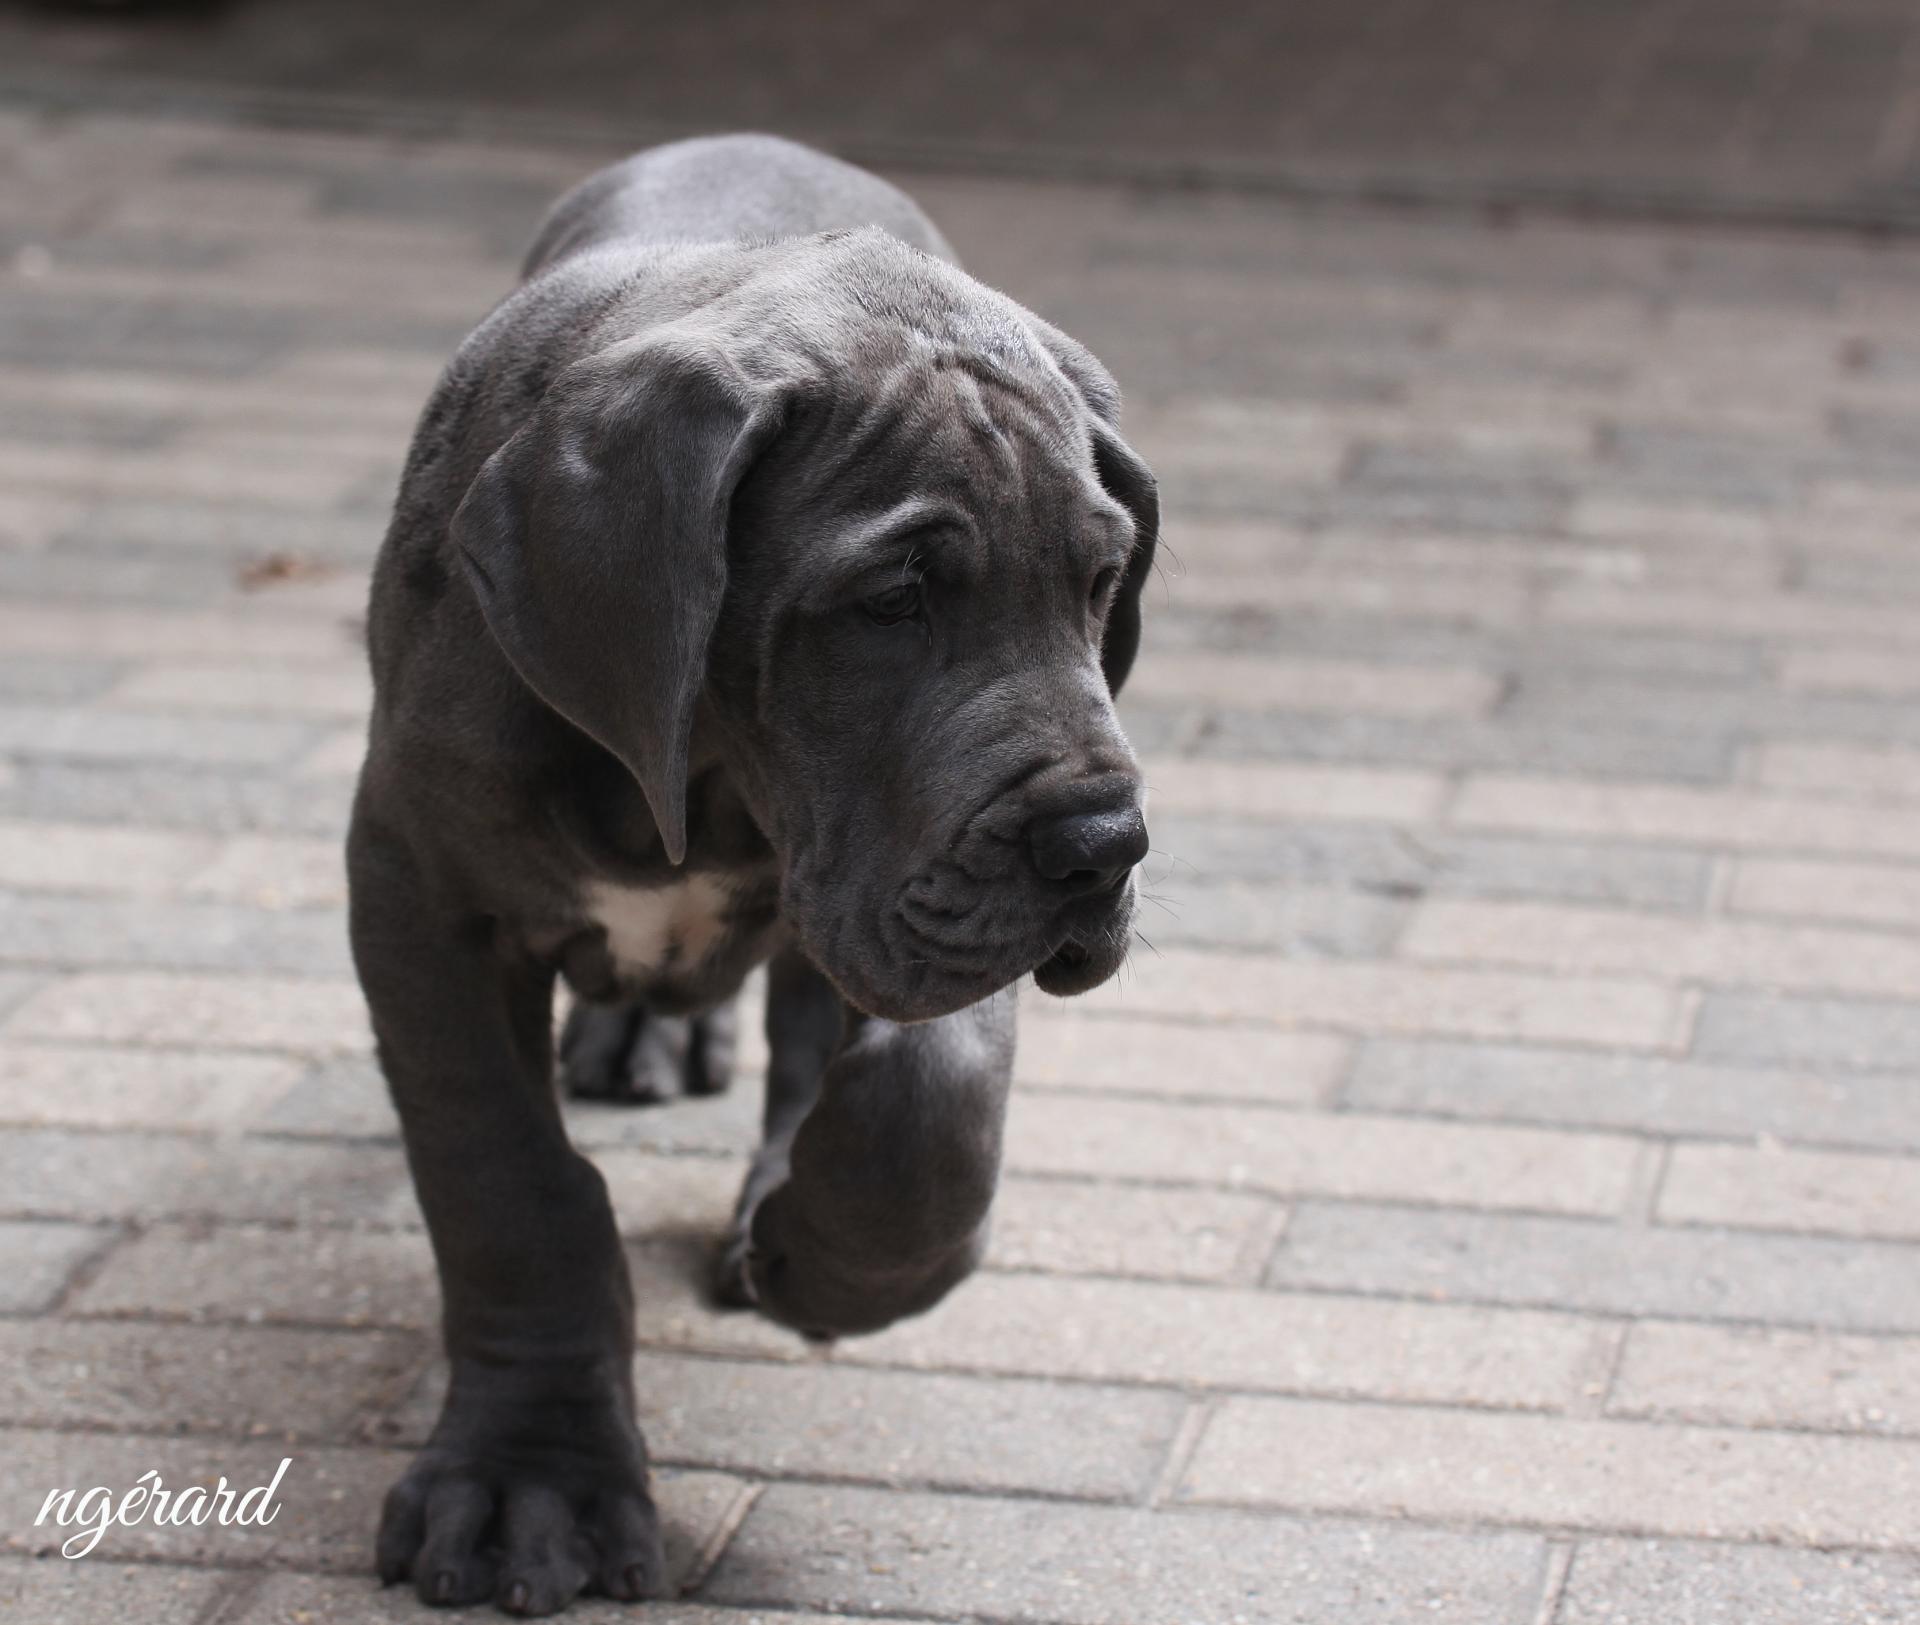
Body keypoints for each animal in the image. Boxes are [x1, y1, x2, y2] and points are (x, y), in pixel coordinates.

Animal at [345, 136, 1152, 1613]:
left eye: (1103, 580)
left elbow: (931, 1110)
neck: (706, 780)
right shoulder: (421, 890)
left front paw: (821, 1257)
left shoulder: (923, 883)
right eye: (890, 600)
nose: (1102, 847)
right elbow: (507, 1182)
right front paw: (528, 1484)